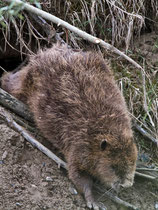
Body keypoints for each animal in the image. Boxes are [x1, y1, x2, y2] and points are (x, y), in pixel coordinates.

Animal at [0, 43, 137, 209]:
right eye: (113, 167)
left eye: (132, 162)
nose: (126, 185)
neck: (104, 127)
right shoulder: (79, 145)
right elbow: (77, 174)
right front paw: (94, 202)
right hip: (24, 83)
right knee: (10, 82)